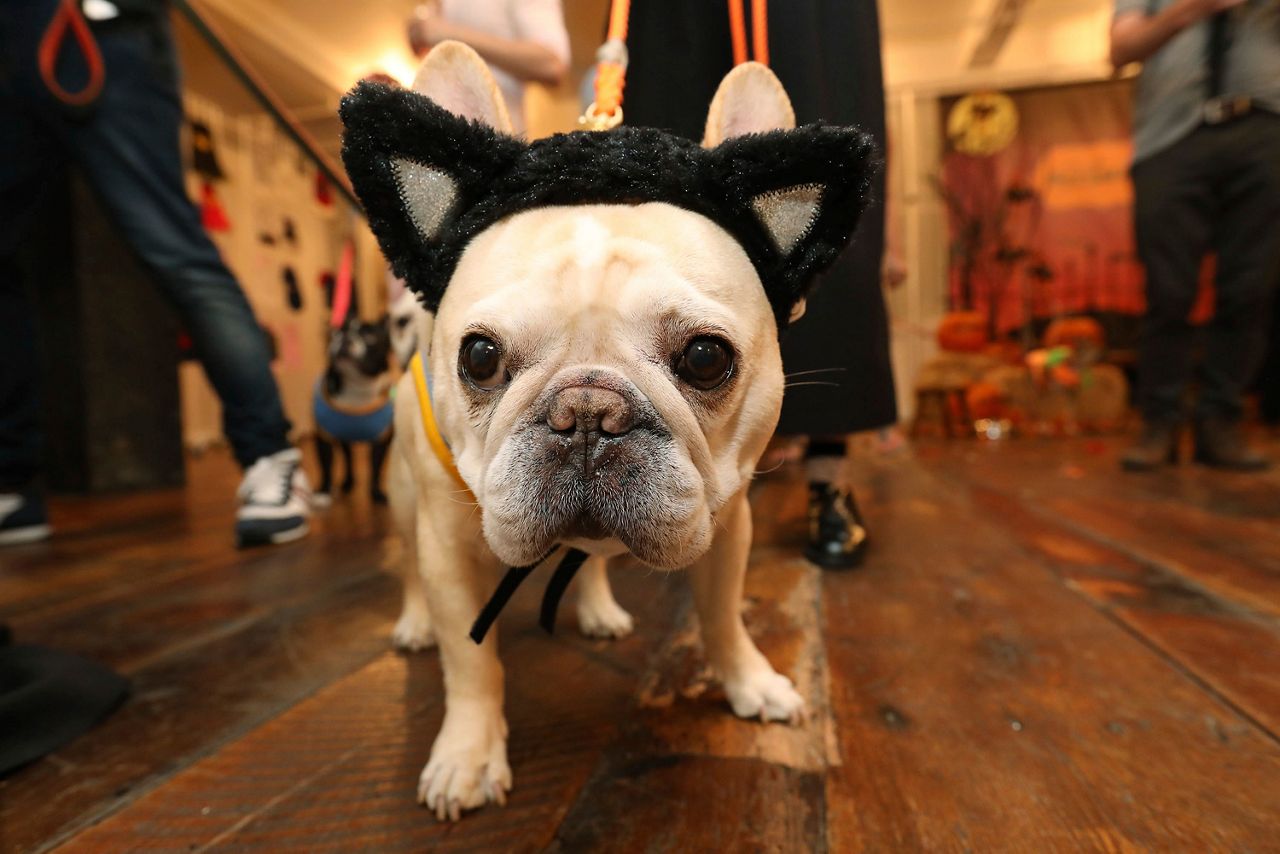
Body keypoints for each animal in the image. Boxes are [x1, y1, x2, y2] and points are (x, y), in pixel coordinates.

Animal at [312, 316, 391, 504]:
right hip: (343, 438)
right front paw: (323, 491)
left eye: (370, 336)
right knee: (347, 458)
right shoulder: (323, 437)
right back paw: (347, 483)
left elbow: (376, 468)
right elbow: (326, 466)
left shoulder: (381, 440)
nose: (345, 338)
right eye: (337, 332)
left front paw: (376, 493)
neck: (356, 390)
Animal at [358, 41, 880, 819]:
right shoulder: (449, 548)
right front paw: (469, 753)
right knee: (411, 571)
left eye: (706, 358)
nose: (586, 415)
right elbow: (471, 660)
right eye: (478, 357)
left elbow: (723, 616)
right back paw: (416, 624)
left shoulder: (729, 527)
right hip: (400, 499)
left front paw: (748, 680)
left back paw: (599, 606)